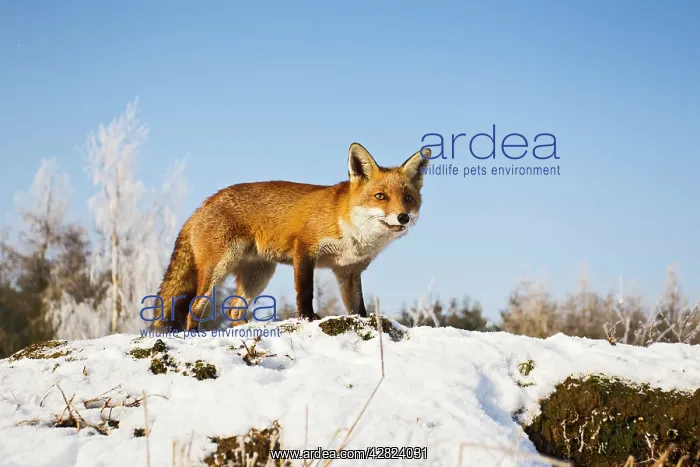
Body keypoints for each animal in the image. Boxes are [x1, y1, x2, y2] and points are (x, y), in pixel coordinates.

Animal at [151, 142, 431, 331]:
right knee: (193, 307)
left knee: (233, 311)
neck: (354, 235)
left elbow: (358, 309)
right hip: (219, 268)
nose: (403, 217)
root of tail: (204, 203)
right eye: (380, 196)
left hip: (258, 277)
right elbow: (305, 292)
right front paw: (309, 318)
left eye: (408, 198)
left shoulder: (349, 271)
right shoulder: (305, 250)